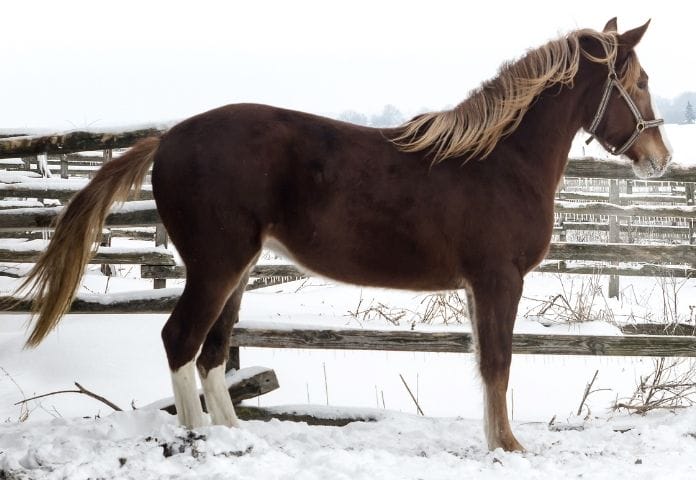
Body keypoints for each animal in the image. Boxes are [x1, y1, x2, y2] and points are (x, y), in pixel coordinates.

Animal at [14, 18, 670, 452]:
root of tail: (167, 138)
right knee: (182, 340)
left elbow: (486, 362)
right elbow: (499, 363)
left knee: (212, 351)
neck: (498, 160)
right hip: (217, 265)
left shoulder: (478, 287)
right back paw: (201, 441)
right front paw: (506, 447)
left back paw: (234, 437)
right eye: (638, 81)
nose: (661, 159)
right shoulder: (498, 280)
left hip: (235, 269)